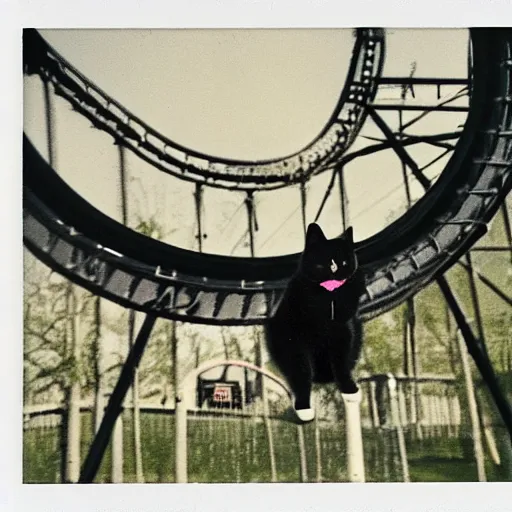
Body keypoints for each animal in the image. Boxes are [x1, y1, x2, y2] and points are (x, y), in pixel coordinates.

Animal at [264, 222, 364, 422]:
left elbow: (341, 364)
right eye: (326, 260)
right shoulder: (294, 339)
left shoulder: (344, 333)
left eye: (344, 262)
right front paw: (303, 408)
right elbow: (302, 372)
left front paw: (350, 390)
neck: (328, 297)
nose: (335, 269)